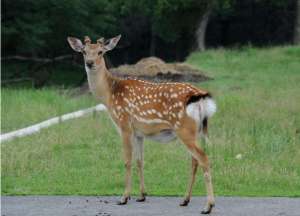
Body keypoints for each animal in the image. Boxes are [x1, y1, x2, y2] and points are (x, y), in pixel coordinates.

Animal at [67, 34, 217, 213]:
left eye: (100, 52)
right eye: (84, 51)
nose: (89, 63)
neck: (109, 95)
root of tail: (200, 97)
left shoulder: (124, 124)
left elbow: (127, 161)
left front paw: (124, 198)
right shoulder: (139, 133)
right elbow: (140, 161)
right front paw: (142, 195)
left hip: (184, 129)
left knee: (203, 158)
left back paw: (208, 206)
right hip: (196, 130)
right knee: (195, 161)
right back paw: (185, 200)